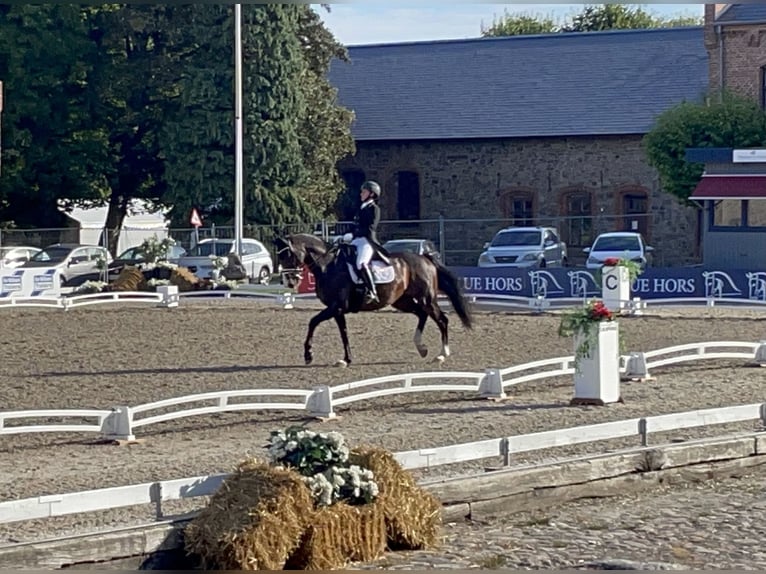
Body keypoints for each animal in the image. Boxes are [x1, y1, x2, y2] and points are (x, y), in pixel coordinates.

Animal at [270, 234, 474, 368]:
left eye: (288, 254)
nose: (290, 282)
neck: (328, 265)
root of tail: (426, 258)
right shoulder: (337, 310)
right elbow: (343, 333)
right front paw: (346, 359)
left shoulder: (336, 307)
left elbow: (313, 322)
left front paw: (308, 355)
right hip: (402, 301)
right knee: (422, 315)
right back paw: (421, 347)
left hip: (426, 299)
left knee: (441, 319)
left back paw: (442, 354)